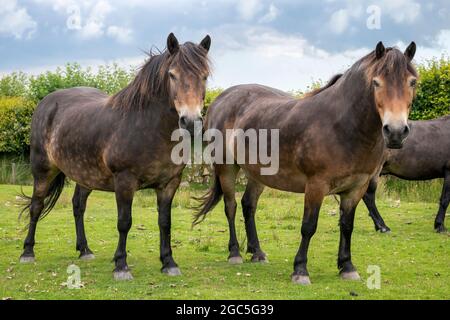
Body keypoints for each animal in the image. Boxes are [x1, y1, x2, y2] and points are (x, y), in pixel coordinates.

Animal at [19, 33, 213, 280]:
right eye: (172, 74)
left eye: (204, 76)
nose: (190, 121)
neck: (148, 127)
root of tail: (45, 103)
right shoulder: (124, 181)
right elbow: (124, 222)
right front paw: (121, 265)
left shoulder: (169, 183)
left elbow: (165, 222)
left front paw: (169, 263)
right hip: (43, 170)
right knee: (36, 206)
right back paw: (27, 252)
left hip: (85, 175)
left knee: (78, 206)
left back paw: (85, 250)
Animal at [195, 41, 416, 284]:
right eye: (376, 82)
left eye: (412, 82)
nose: (396, 132)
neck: (342, 126)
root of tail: (218, 100)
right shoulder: (316, 186)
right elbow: (308, 226)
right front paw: (300, 270)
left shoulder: (356, 188)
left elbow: (347, 226)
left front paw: (347, 266)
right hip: (226, 167)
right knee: (231, 206)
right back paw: (234, 253)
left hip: (258, 173)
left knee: (248, 205)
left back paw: (257, 252)